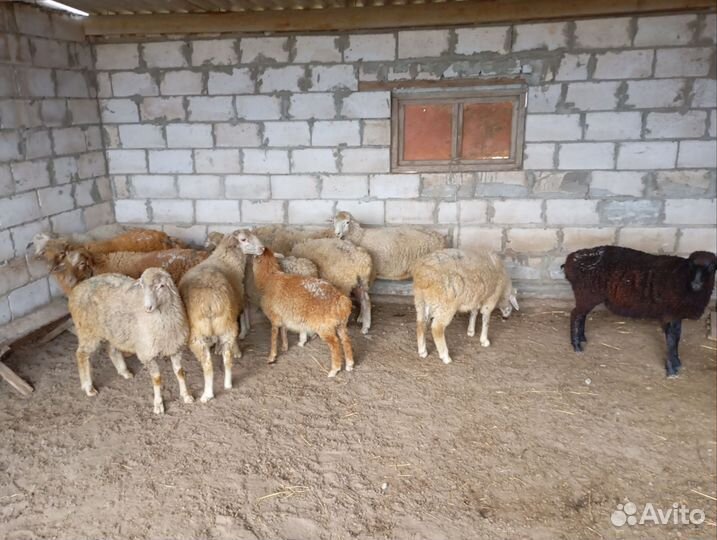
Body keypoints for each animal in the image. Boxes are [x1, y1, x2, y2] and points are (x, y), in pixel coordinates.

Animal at [68, 268, 193, 414]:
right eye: (142, 286)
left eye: (161, 286)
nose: (148, 307)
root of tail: (78, 288)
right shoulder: (147, 354)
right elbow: (157, 379)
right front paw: (158, 404)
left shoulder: (175, 348)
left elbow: (180, 373)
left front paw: (186, 395)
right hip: (88, 331)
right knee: (81, 354)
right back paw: (88, 387)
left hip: (114, 330)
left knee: (111, 350)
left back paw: (124, 371)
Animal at [179, 230, 251, 402]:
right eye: (244, 239)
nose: (262, 249)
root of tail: (212, 300)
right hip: (225, 323)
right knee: (227, 357)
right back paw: (227, 383)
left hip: (197, 335)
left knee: (207, 364)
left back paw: (207, 393)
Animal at [238, 234, 354, 378]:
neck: (269, 278)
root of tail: (341, 301)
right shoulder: (283, 315)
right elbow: (283, 330)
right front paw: (285, 346)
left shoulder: (274, 318)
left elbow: (273, 336)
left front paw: (272, 357)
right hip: (341, 325)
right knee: (346, 341)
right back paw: (349, 365)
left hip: (325, 327)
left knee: (335, 344)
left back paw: (334, 370)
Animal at [563, 245, 717, 377]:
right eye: (691, 266)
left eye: (711, 267)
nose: (696, 284)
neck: (683, 279)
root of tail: (569, 261)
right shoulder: (669, 314)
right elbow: (672, 340)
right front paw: (671, 369)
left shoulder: (676, 314)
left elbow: (677, 337)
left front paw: (677, 362)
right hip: (587, 293)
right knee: (575, 315)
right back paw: (576, 345)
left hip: (586, 295)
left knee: (581, 315)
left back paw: (582, 338)